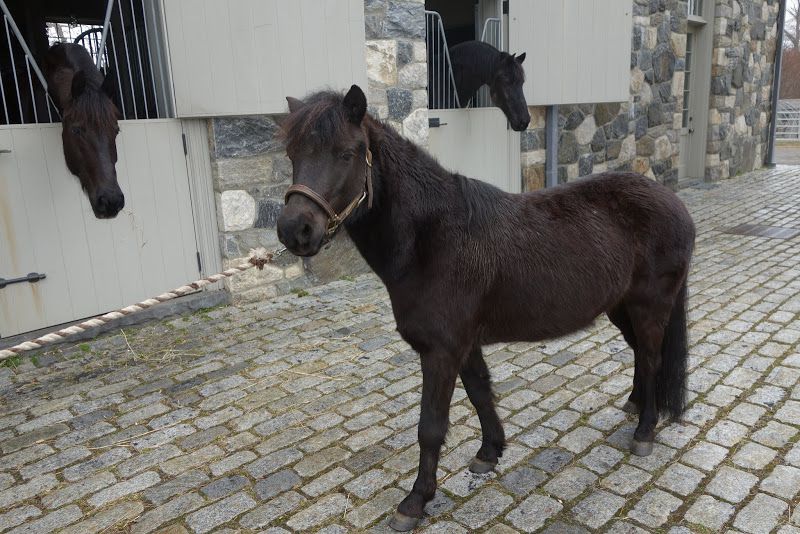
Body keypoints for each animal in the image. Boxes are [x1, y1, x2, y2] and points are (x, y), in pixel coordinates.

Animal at [277, 85, 695, 531]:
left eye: (346, 153)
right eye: (292, 154)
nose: (294, 230)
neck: (432, 239)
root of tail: (673, 201)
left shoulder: (441, 351)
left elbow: (431, 426)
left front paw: (415, 501)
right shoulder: (462, 344)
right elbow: (480, 392)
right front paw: (489, 453)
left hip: (650, 306)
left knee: (651, 358)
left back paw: (645, 431)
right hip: (621, 307)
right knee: (640, 356)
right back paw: (635, 405)